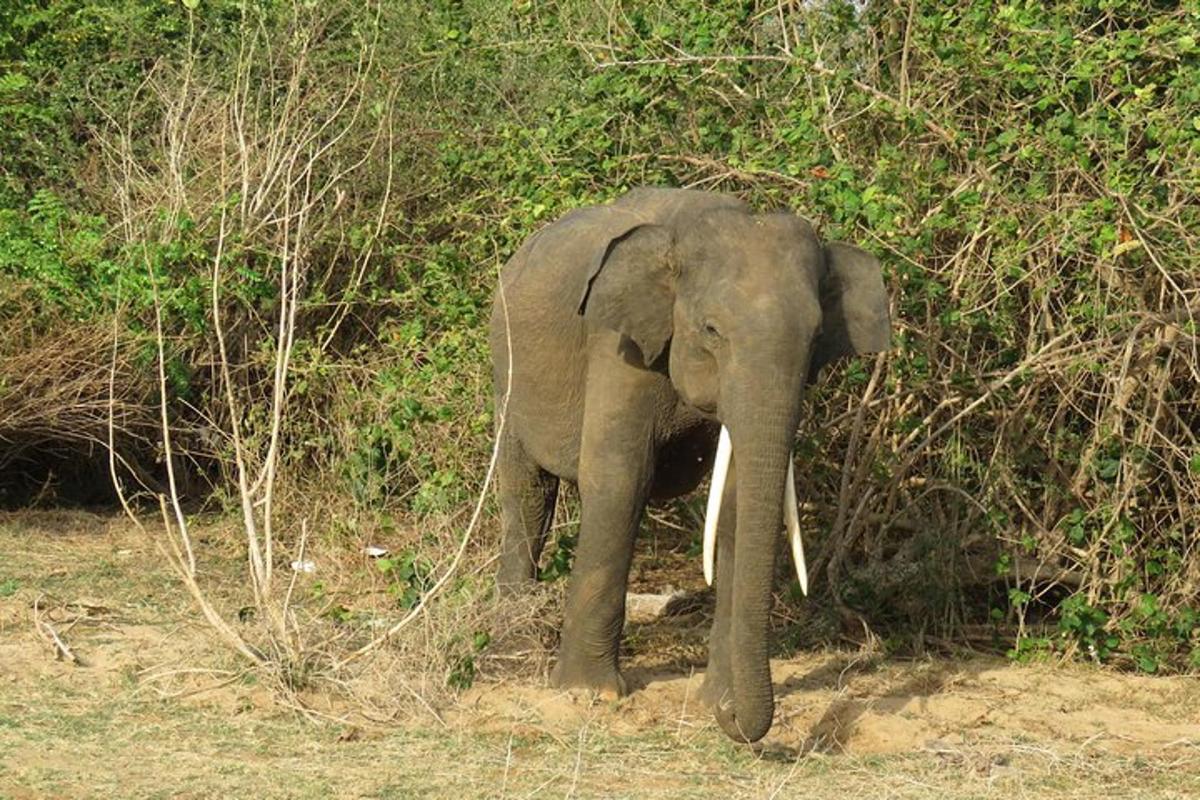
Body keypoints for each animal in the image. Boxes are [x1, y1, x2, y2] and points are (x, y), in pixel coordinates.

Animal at [487, 184, 892, 743]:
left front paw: (713, 700)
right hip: (506, 367)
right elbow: (619, 478)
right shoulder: (620, 343)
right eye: (711, 329)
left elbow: (738, 502)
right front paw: (590, 694)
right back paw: (514, 650)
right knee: (525, 494)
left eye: (815, 338)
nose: (731, 718)